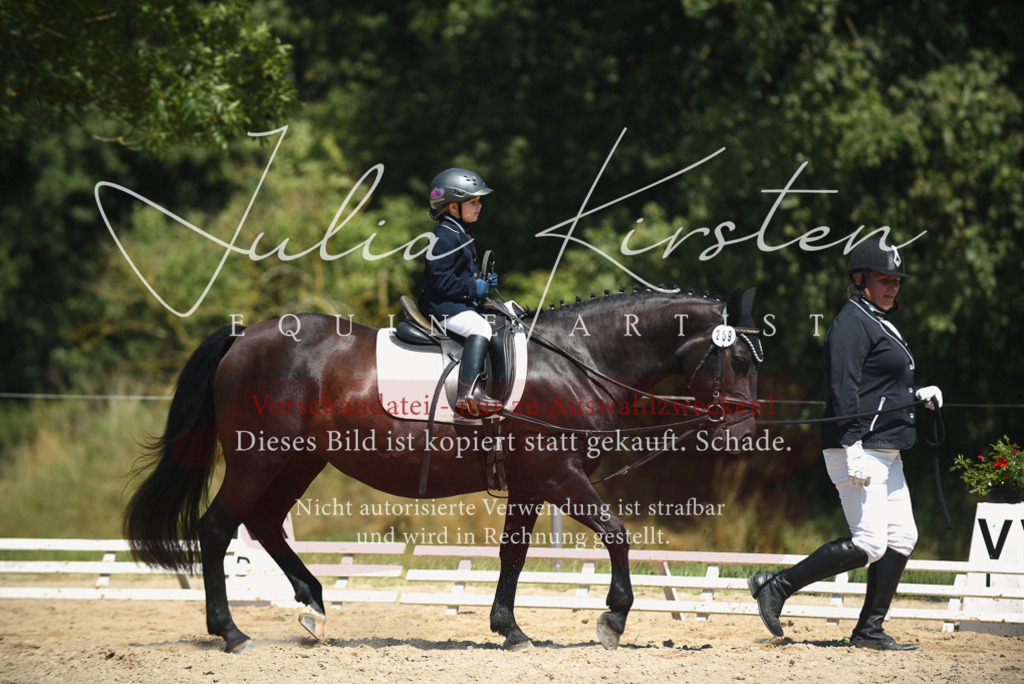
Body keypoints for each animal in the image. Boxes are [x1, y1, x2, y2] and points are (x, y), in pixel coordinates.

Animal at [124, 286, 762, 653]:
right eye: (740, 357)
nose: (744, 433)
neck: (580, 362)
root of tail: (245, 337)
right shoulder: (559, 476)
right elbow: (617, 534)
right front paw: (614, 619)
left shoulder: (530, 484)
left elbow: (513, 554)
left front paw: (509, 629)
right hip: (260, 457)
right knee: (217, 529)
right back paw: (231, 633)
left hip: (299, 461)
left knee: (264, 525)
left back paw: (313, 608)